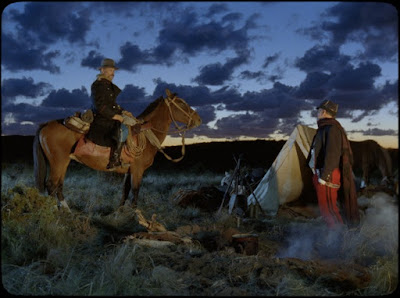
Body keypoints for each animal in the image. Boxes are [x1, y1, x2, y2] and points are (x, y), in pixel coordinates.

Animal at [34, 89, 202, 211]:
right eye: (181, 103)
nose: (198, 119)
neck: (145, 134)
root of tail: (46, 124)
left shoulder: (129, 170)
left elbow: (125, 190)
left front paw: (119, 212)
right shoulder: (138, 169)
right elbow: (135, 190)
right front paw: (134, 214)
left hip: (64, 162)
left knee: (58, 186)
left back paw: (67, 211)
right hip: (58, 162)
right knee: (52, 185)